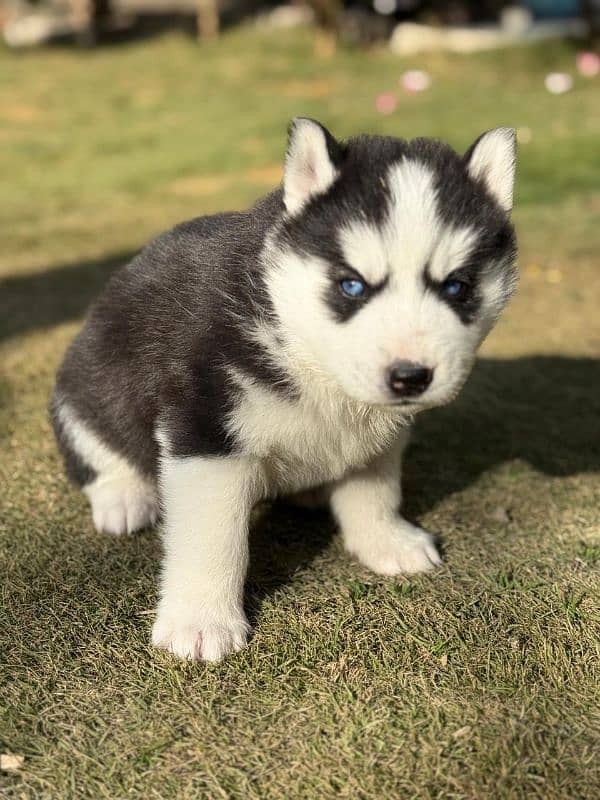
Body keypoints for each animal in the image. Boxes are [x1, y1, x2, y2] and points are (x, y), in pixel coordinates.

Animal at [51, 115, 516, 660]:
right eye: (352, 285)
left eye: (457, 287)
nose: (410, 376)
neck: (305, 350)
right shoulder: (206, 428)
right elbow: (213, 537)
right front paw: (200, 620)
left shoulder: (376, 431)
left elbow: (374, 489)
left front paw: (386, 540)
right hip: (85, 384)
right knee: (97, 448)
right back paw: (123, 498)